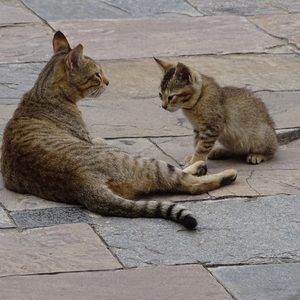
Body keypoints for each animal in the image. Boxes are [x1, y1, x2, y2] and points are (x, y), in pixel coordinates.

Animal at [1, 31, 238, 229]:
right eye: (97, 74)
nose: (107, 82)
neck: (42, 91)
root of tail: (83, 184)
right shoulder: (86, 137)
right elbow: (96, 139)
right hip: (145, 162)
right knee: (184, 182)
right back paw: (221, 173)